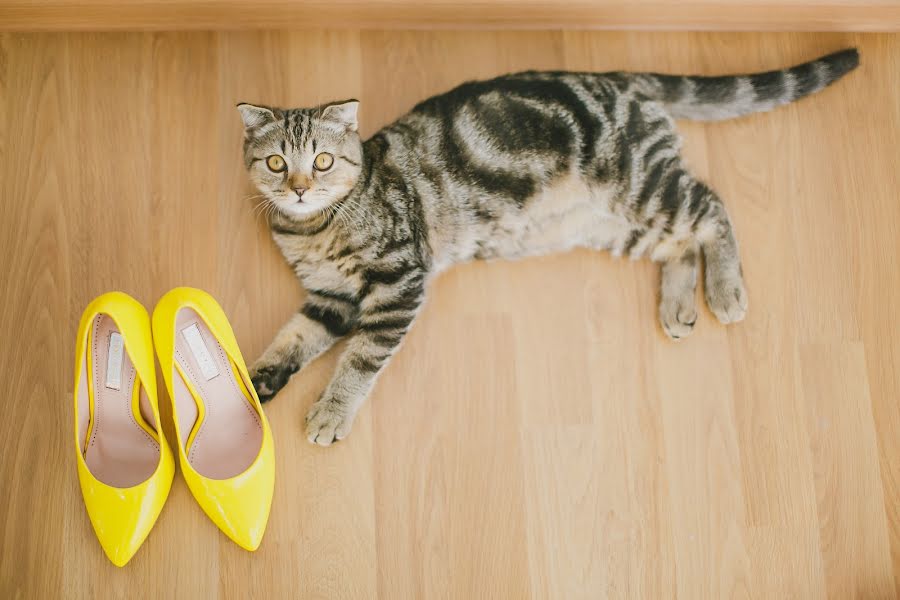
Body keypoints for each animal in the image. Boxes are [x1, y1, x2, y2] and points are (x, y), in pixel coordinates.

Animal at [237, 48, 856, 446]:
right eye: (276, 163)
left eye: (322, 161)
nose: (299, 188)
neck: (312, 231)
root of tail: (620, 78)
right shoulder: (331, 298)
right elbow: (294, 337)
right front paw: (256, 380)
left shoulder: (396, 282)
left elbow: (360, 359)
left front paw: (330, 413)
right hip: (613, 223)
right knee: (681, 241)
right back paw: (678, 306)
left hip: (639, 186)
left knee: (711, 208)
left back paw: (727, 291)